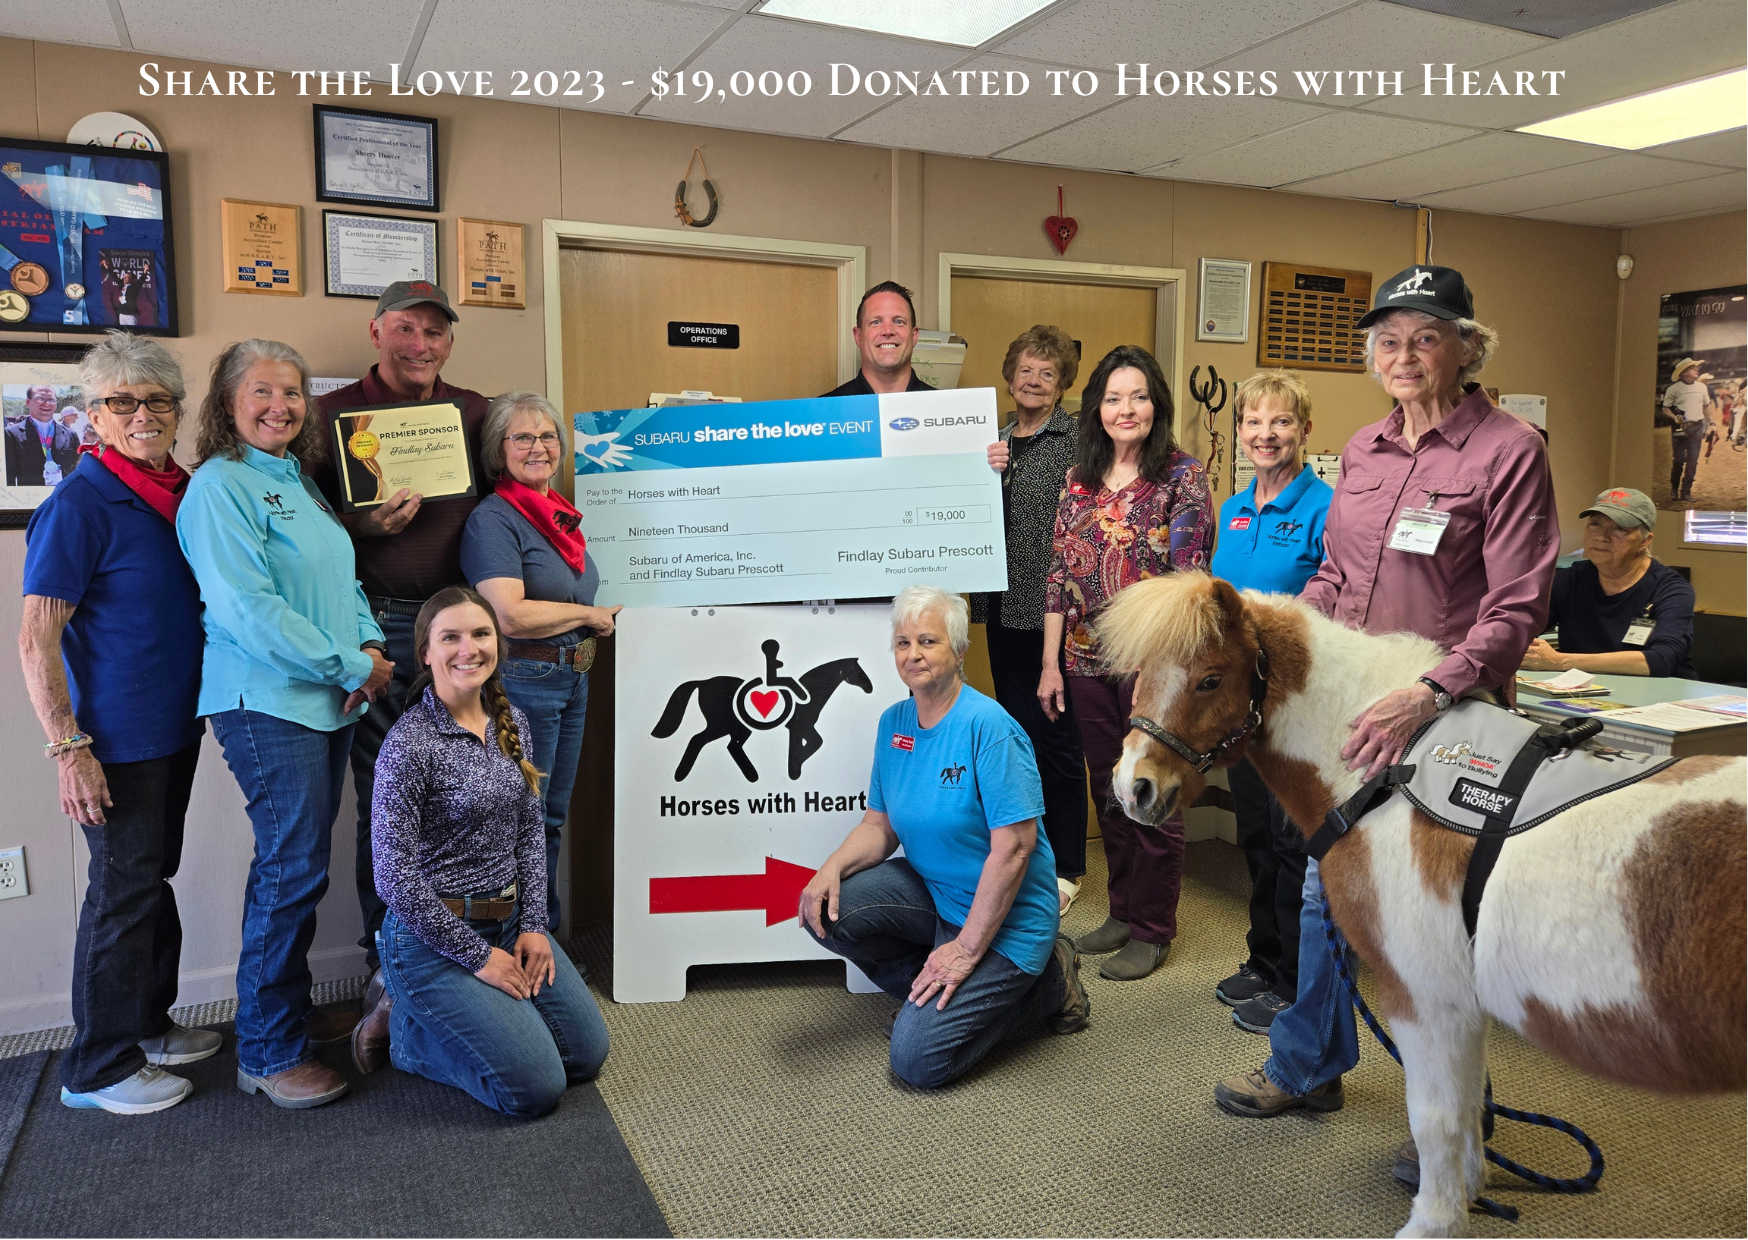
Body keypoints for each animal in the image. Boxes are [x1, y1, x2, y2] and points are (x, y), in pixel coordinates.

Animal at [1097, 573, 1741, 1238]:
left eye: (1210, 679)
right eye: (1141, 672)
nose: (1132, 787)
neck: (1388, 777)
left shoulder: (1427, 999)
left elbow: (1437, 1119)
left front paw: (1436, 1217)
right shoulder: (1462, 1004)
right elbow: (1466, 1113)